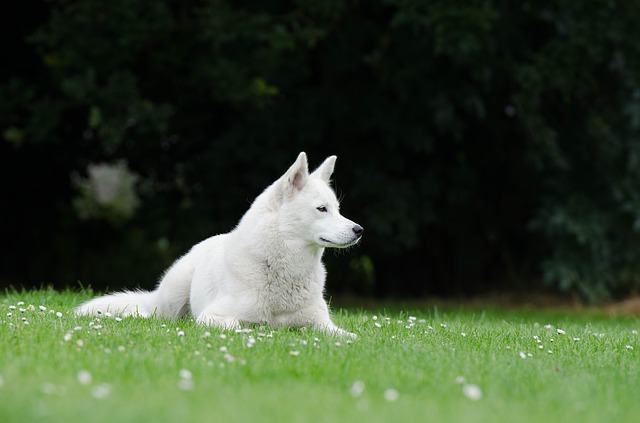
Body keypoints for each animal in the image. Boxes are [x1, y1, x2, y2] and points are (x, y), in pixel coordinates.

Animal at [76, 153, 360, 338]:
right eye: (321, 209)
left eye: (337, 209)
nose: (359, 230)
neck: (281, 269)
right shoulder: (213, 316)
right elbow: (238, 325)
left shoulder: (322, 324)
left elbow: (348, 337)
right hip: (172, 298)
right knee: (153, 313)